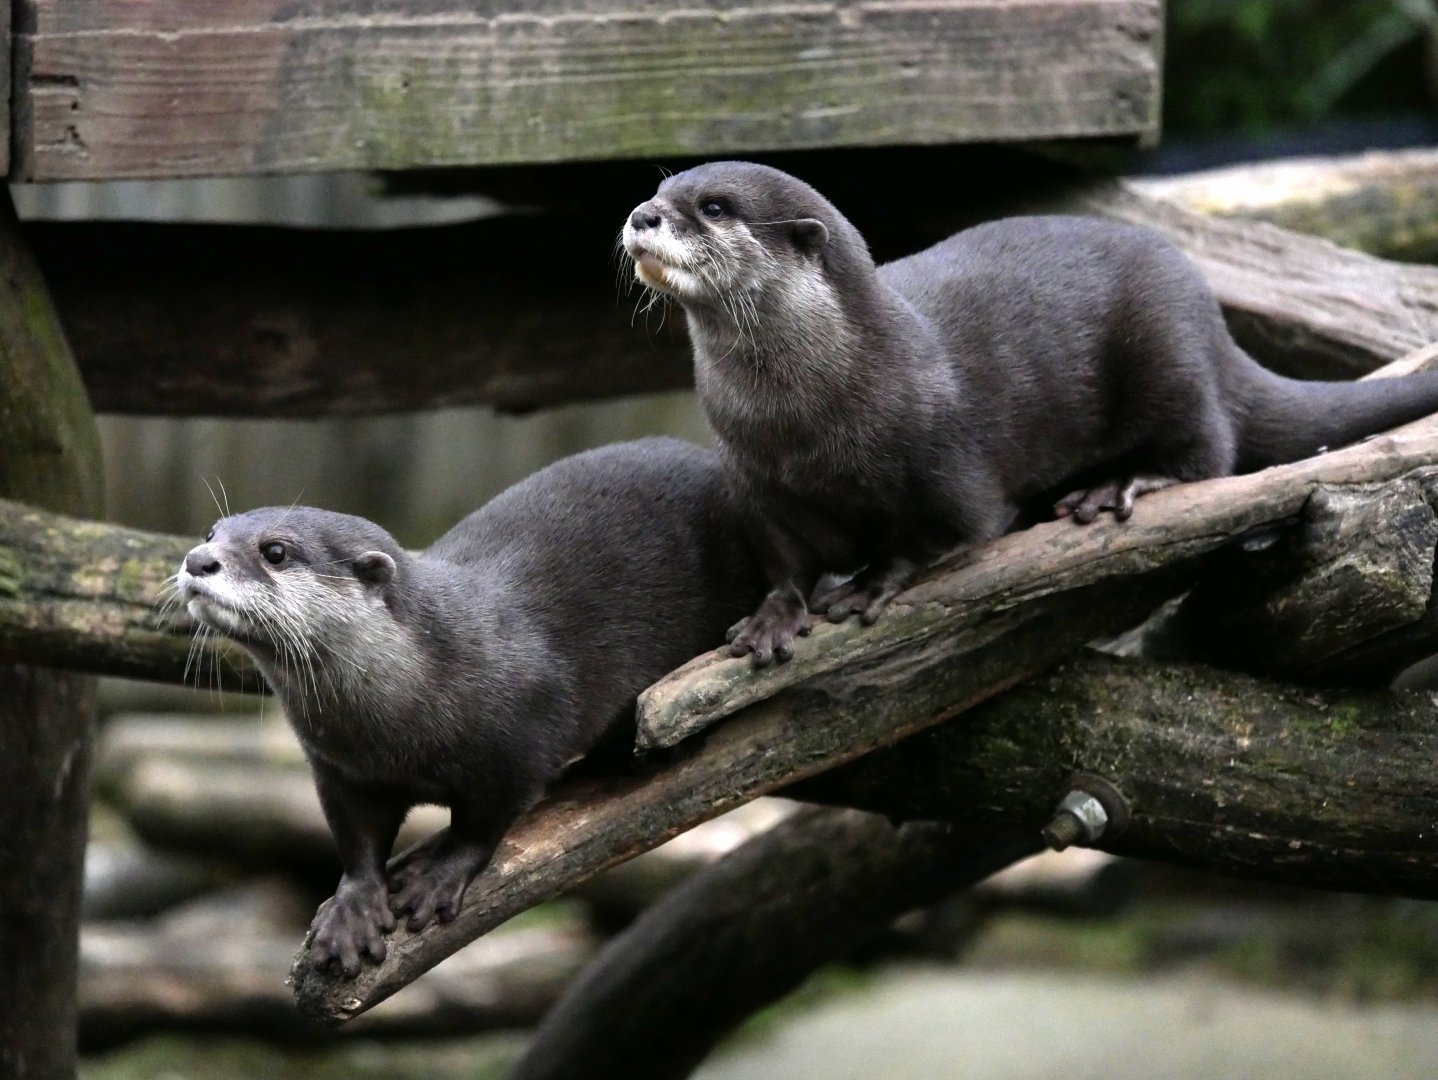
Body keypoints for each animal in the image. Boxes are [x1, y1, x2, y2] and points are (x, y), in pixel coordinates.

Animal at [175, 438, 764, 977]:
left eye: (275, 551)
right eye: (211, 534)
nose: (197, 559)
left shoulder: (518, 742)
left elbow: (485, 820)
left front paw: (437, 876)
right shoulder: (339, 769)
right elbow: (355, 837)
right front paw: (352, 910)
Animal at [622, 160, 1438, 666]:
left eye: (714, 208)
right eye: (664, 188)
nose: (640, 214)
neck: (803, 422)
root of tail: (1212, 319)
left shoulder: (947, 466)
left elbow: (947, 531)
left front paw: (870, 583)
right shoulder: (758, 484)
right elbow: (784, 563)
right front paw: (773, 616)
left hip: (1167, 353)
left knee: (1208, 450)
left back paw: (1118, 486)